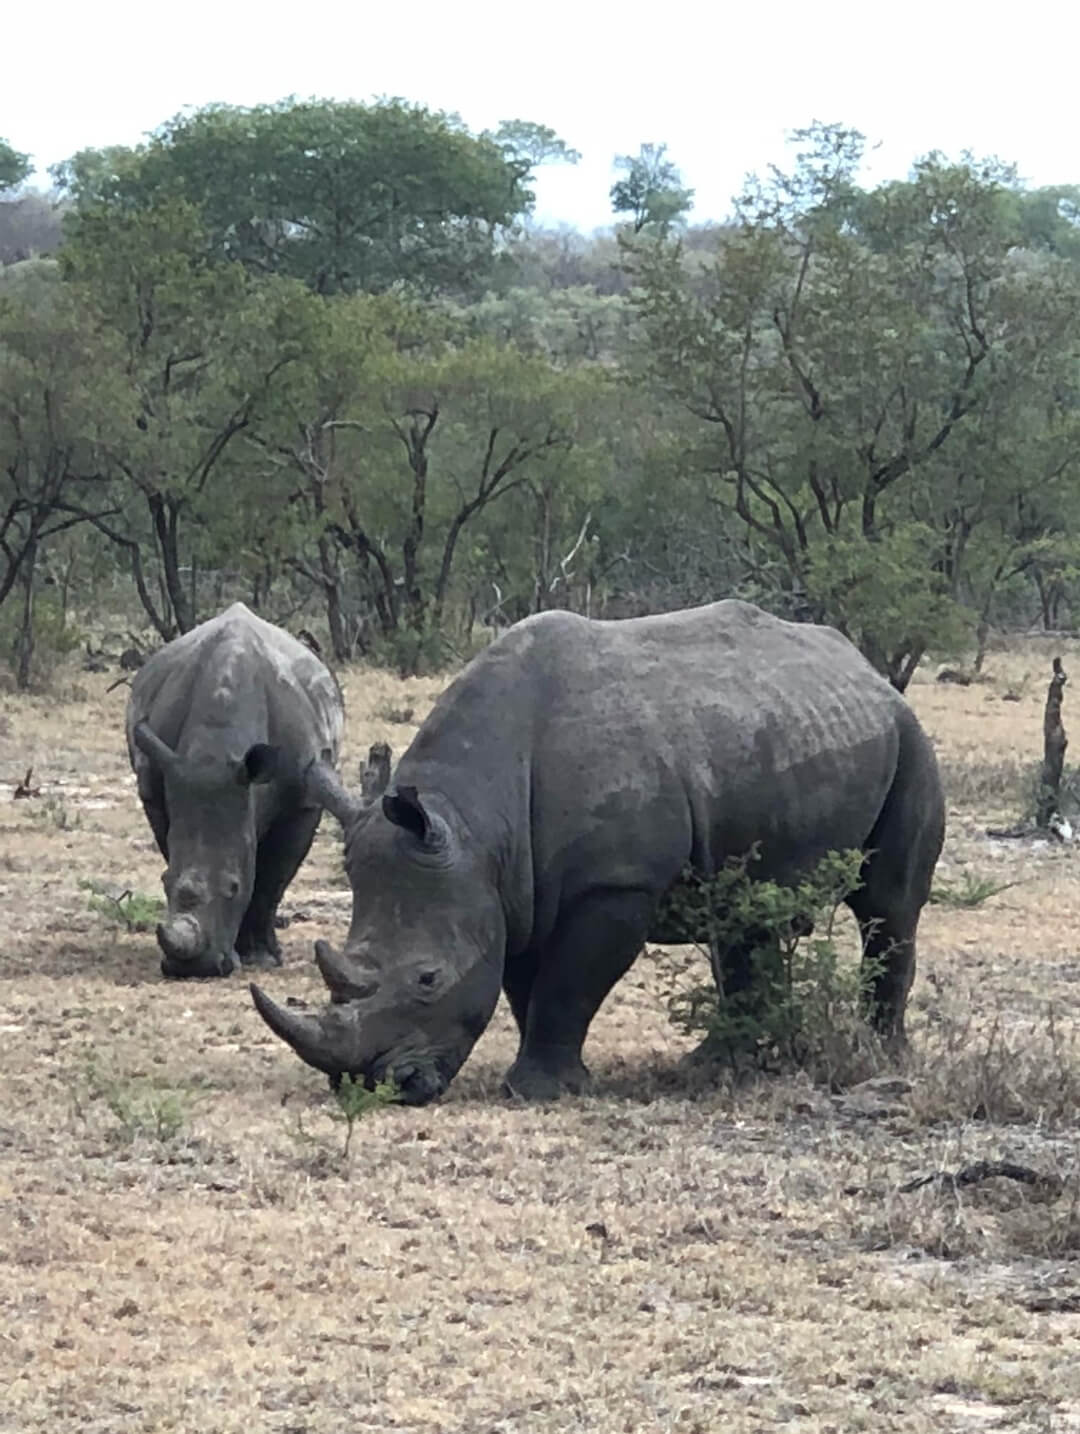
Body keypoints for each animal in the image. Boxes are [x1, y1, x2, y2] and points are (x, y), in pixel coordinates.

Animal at [126, 602, 344, 979]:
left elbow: (271, 880)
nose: (193, 969)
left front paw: (260, 958)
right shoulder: (159, 782)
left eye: (233, 887)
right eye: (163, 882)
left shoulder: (302, 802)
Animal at [251, 601, 944, 1103]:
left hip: (910, 737)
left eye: (428, 979)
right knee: (745, 919)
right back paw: (719, 1065)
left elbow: (568, 983)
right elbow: (525, 983)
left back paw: (882, 1056)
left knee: (888, 906)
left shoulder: (615, 882)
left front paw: (537, 1092)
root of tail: (867, 672)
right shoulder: (512, 889)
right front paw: (551, 1080)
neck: (476, 822)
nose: (373, 1086)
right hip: (783, 732)